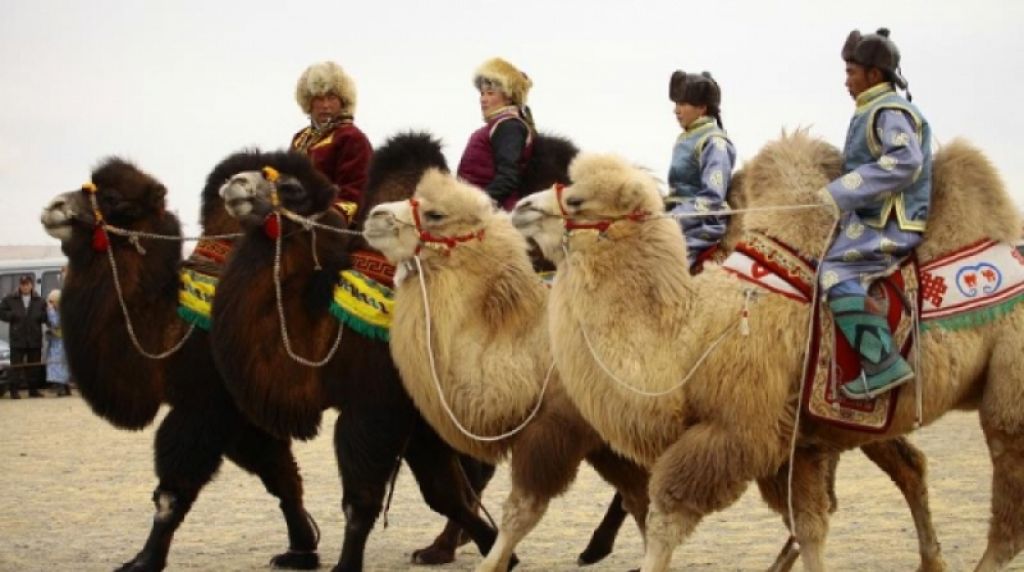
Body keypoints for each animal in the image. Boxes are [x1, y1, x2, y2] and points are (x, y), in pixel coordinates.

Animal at [40, 158, 315, 572]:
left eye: (114, 199)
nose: (54, 206)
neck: (170, 326)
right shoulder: (241, 418)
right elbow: (280, 475)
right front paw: (302, 550)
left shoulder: (205, 407)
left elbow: (173, 491)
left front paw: (145, 560)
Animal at [540, 132, 1019, 568]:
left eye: (577, 200)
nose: (526, 206)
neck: (688, 331)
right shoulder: (795, 445)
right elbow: (810, 525)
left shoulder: (737, 430)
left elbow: (666, 517)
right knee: (912, 469)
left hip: (1007, 392)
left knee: (1006, 520)